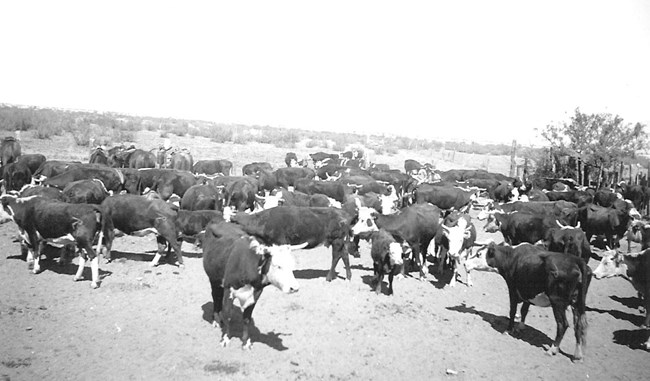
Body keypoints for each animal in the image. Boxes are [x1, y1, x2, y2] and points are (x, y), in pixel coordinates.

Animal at [201, 218, 300, 348]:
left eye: (292, 266)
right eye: (278, 266)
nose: (295, 288)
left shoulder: (255, 294)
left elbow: (247, 319)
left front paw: (245, 342)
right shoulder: (229, 290)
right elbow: (228, 315)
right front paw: (225, 338)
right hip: (213, 279)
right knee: (216, 296)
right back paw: (216, 319)